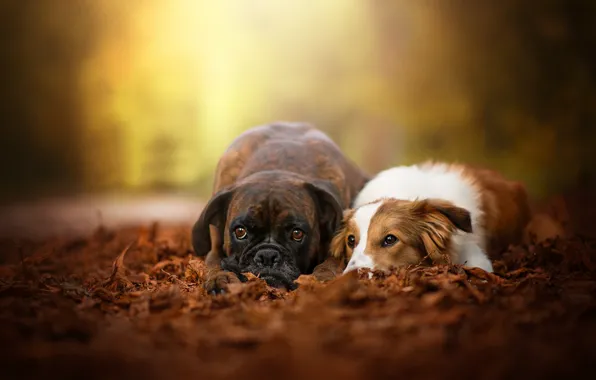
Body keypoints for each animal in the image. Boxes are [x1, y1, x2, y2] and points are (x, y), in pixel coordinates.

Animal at [192, 121, 368, 294]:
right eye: (240, 231)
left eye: (297, 233)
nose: (267, 255)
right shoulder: (214, 250)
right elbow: (215, 263)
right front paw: (220, 278)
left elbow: (330, 264)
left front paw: (321, 279)